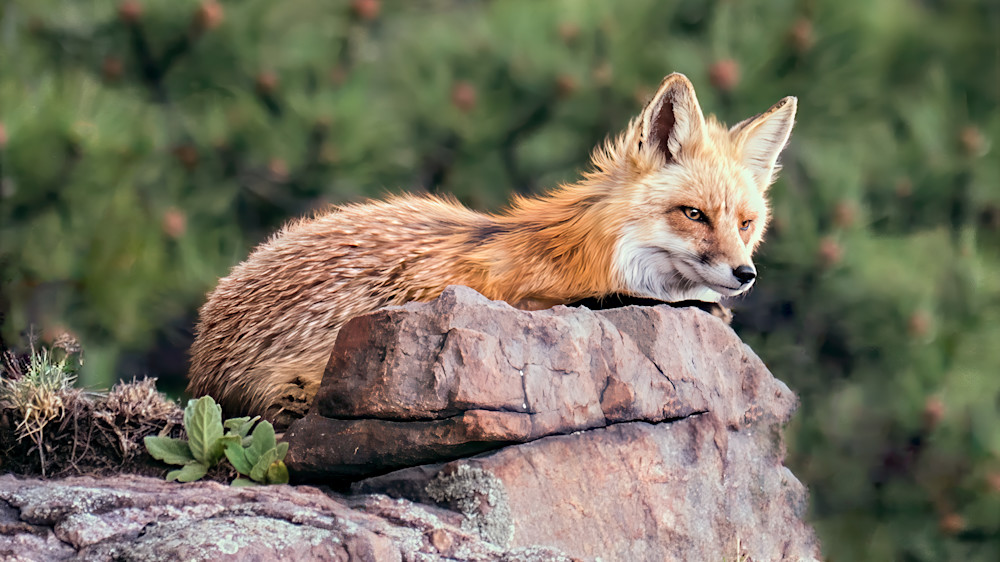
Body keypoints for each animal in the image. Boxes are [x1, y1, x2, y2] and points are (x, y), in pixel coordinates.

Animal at [187, 73, 797, 426]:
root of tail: (200, 358)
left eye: (746, 224)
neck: (585, 250)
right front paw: (697, 308)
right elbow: (616, 303)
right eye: (694, 215)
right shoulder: (518, 298)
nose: (744, 274)